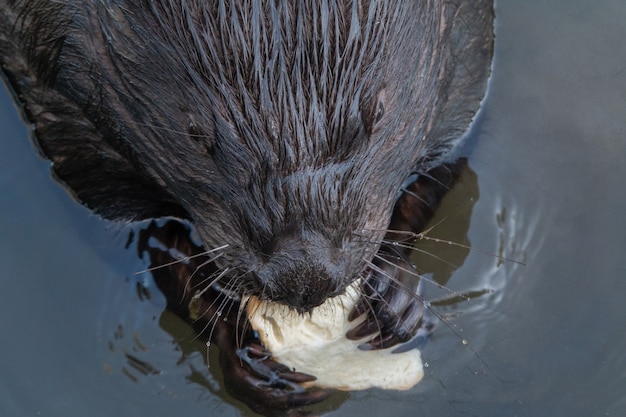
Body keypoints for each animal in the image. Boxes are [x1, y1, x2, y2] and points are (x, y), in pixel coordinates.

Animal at [0, 0, 492, 412]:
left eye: (377, 113)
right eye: (196, 134)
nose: (304, 274)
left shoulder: (466, 54)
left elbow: (443, 169)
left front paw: (394, 299)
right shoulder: (63, 95)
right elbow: (138, 236)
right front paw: (250, 360)